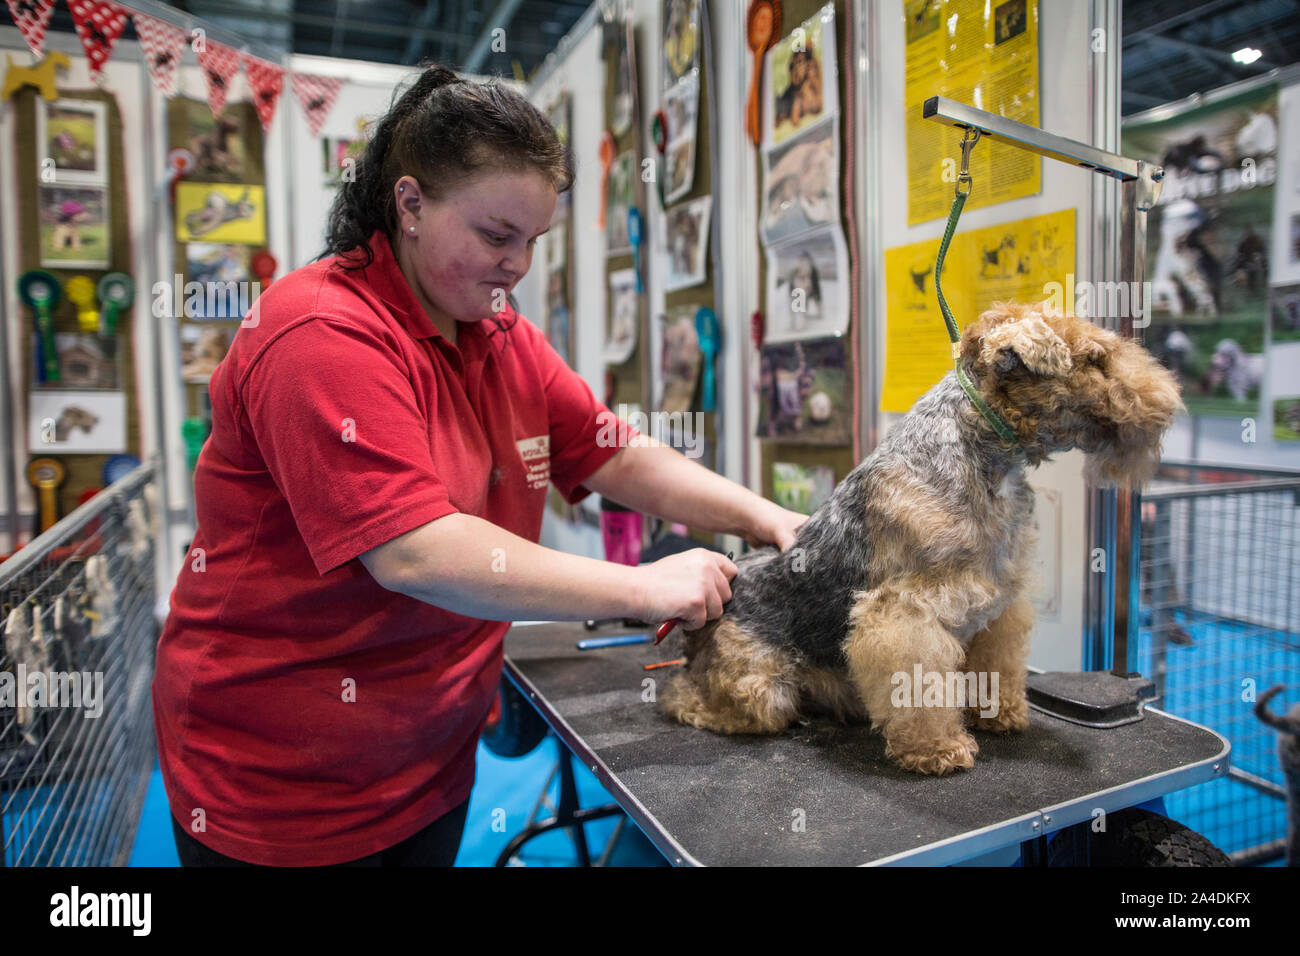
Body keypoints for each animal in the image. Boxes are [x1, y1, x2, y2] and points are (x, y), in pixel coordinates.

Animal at [665, 303, 1185, 775]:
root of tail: (728, 590)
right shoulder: (904, 614)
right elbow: (921, 687)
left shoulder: (1001, 605)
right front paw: (937, 750)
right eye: (1096, 358)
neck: (985, 457)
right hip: (761, 689)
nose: (1169, 401)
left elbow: (998, 665)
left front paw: (1000, 713)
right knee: (690, 697)